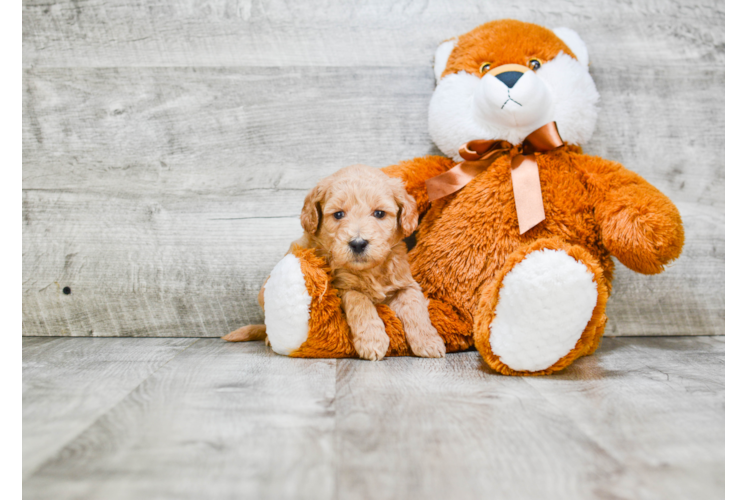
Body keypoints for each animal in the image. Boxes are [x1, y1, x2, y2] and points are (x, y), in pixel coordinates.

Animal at [222, 166, 444, 362]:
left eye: (379, 213)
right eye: (338, 214)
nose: (358, 243)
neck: (368, 270)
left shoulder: (405, 283)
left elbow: (415, 306)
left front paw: (429, 341)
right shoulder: (340, 286)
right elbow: (359, 300)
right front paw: (372, 340)